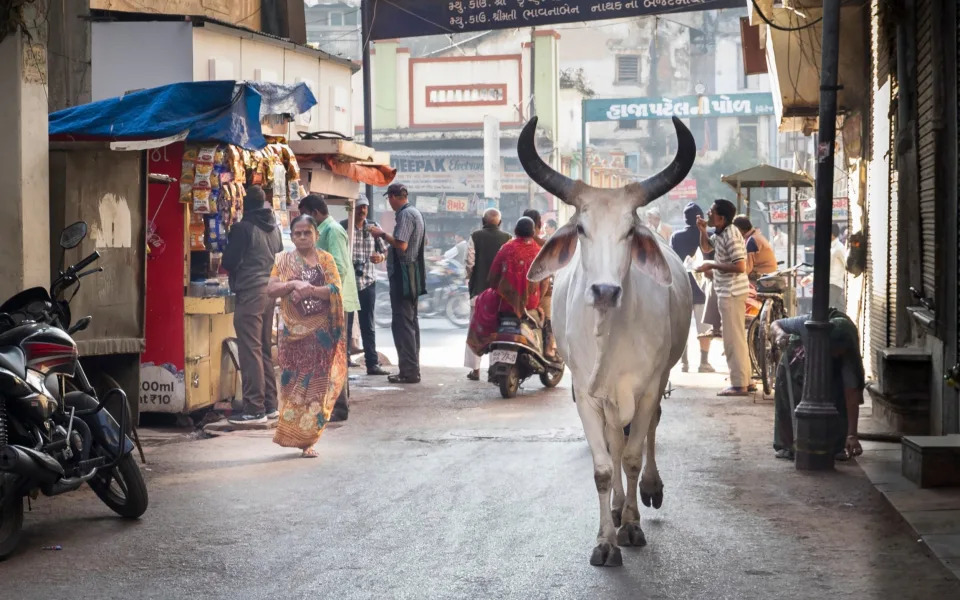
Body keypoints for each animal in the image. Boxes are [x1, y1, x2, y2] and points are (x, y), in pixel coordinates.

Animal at [520, 117, 692, 568]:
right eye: (581, 228)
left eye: (630, 231)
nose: (604, 291)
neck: (610, 334)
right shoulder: (587, 393)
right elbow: (603, 466)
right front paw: (605, 541)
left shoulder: (648, 388)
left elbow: (631, 456)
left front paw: (631, 526)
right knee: (615, 442)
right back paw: (615, 508)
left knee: (644, 436)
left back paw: (647, 491)